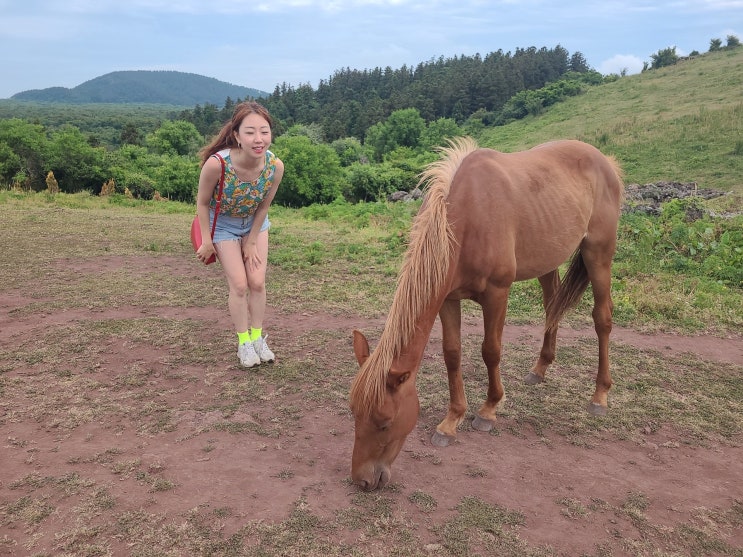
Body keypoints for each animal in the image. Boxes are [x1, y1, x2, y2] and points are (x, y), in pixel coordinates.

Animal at [350, 137, 628, 488]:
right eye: (353, 412)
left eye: (385, 422)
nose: (361, 480)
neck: (467, 218)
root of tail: (604, 160)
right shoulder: (447, 298)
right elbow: (452, 353)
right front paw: (451, 421)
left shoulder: (497, 293)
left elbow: (490, 351)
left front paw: (488, 410)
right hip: (547, 260)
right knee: (552, 307)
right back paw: (540, 369)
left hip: (598, 254)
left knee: (602, 318)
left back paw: (599, 396)